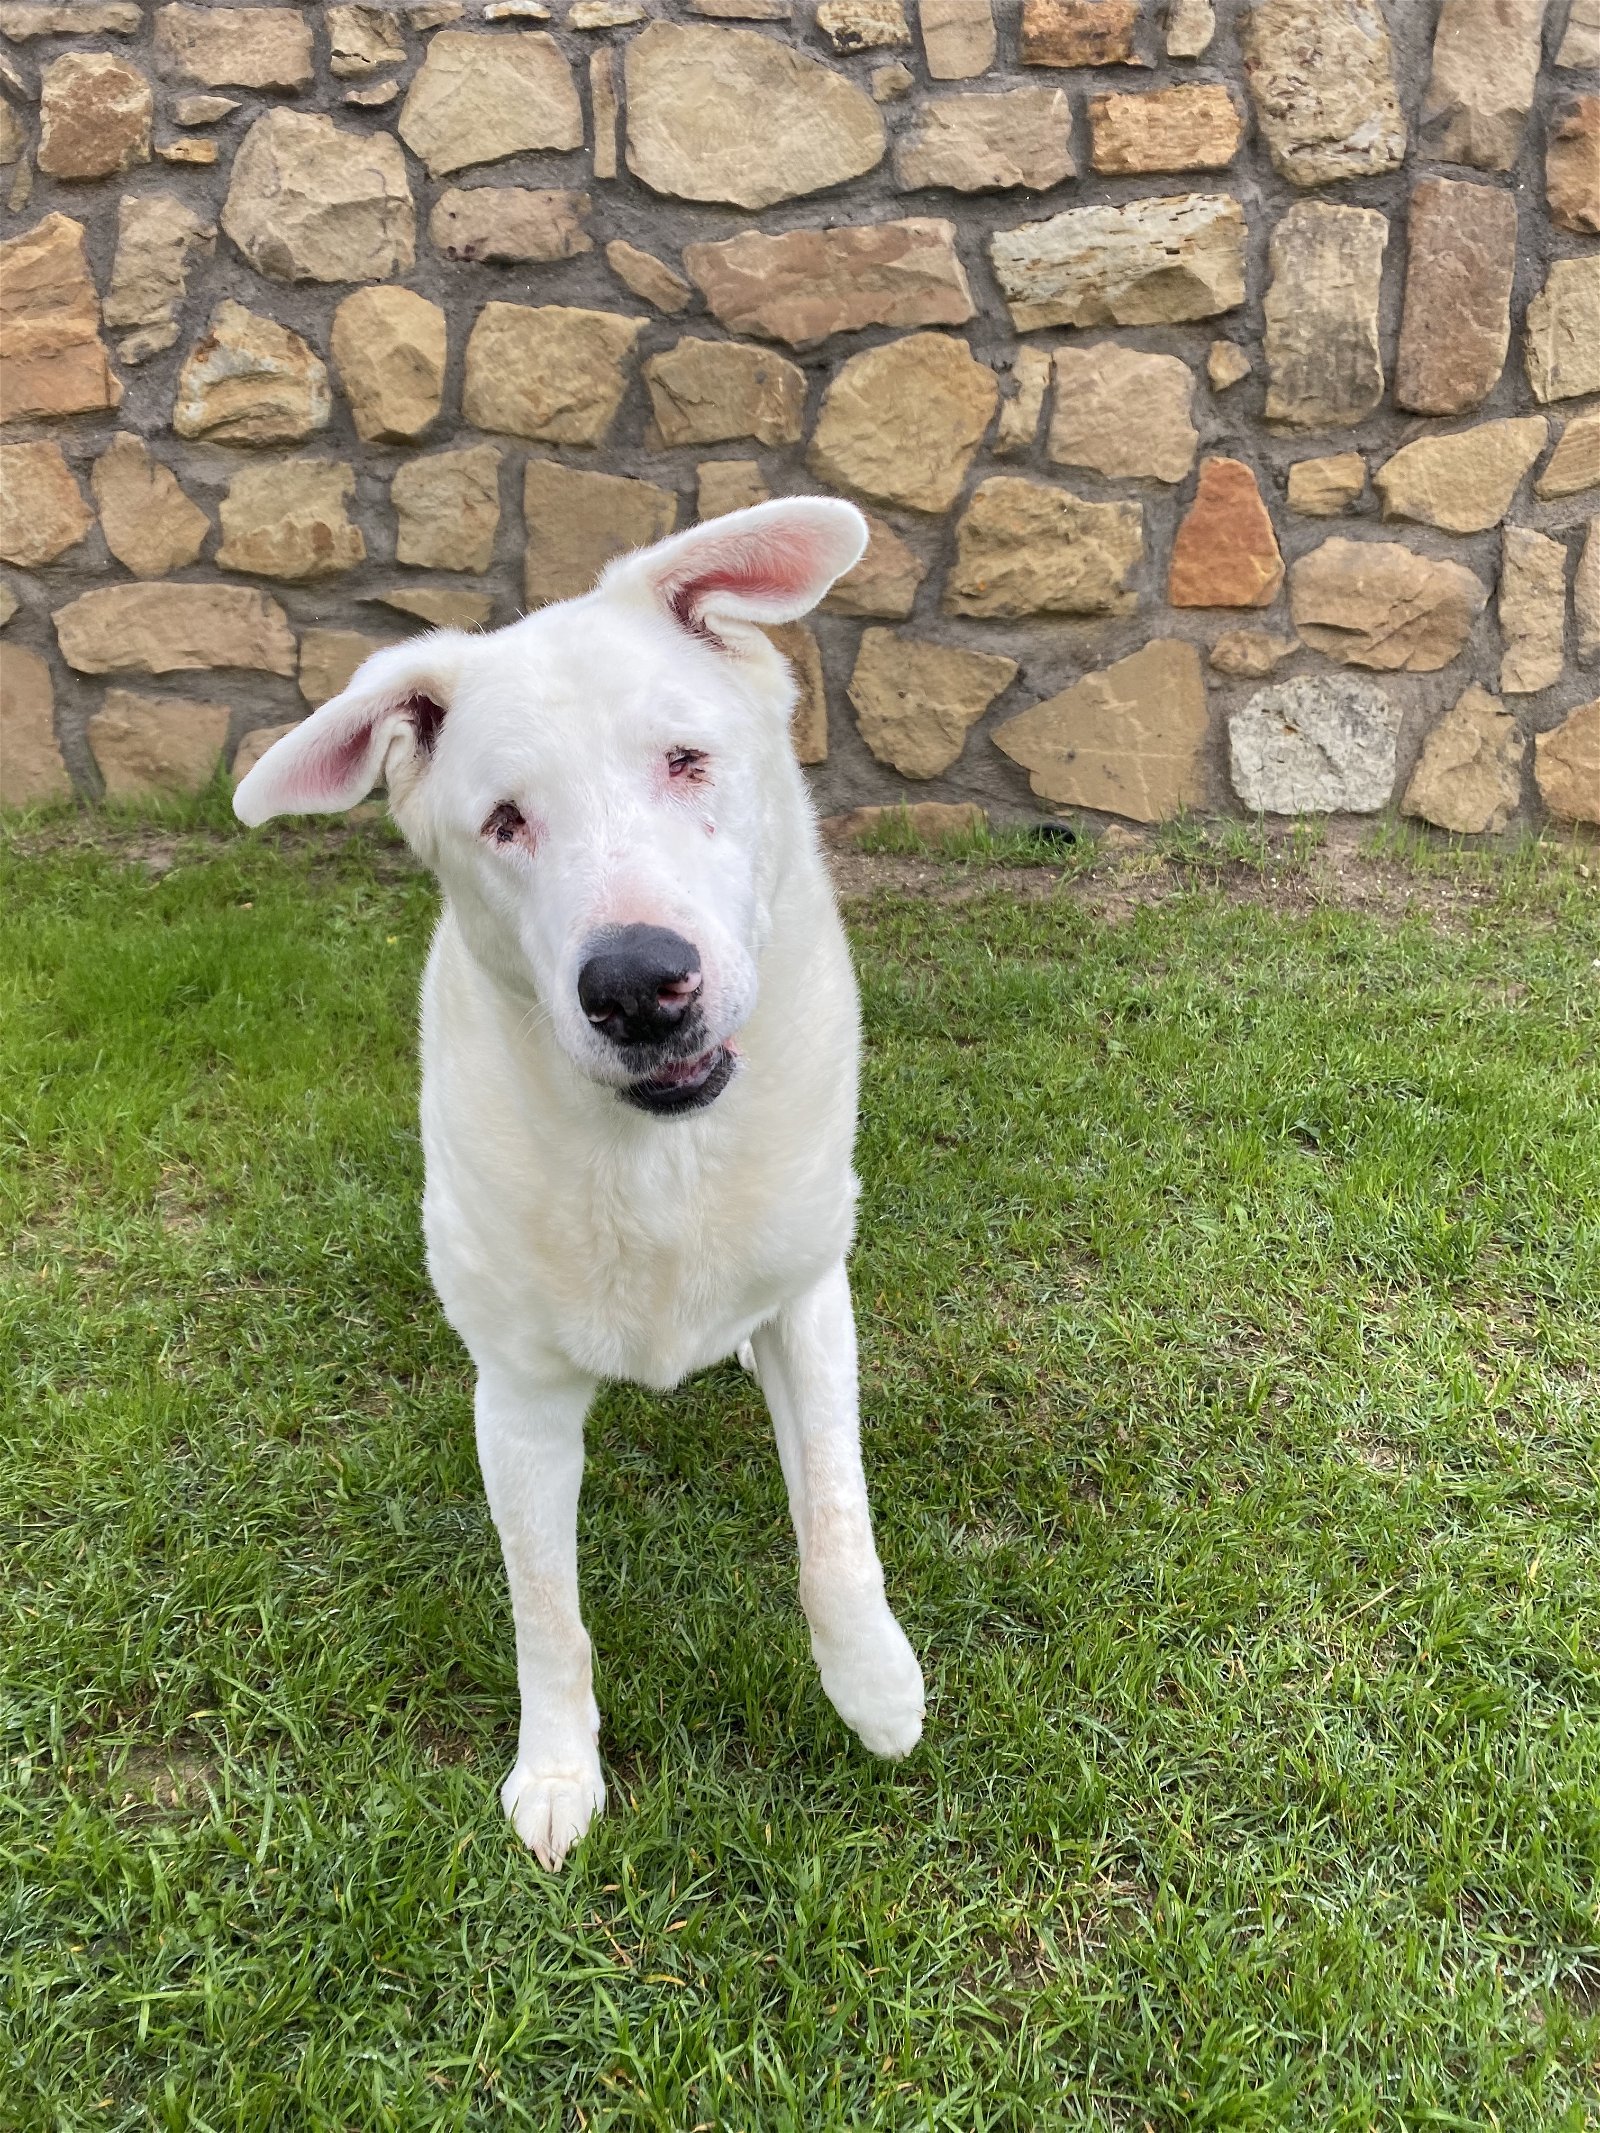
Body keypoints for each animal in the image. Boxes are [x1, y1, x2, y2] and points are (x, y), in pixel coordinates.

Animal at [231, 499, 921, 1868]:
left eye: (687, 761)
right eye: (504, 820)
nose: (638, 986)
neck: (653, 1159)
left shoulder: (810, 1304)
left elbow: (834, 1519)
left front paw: (873, 1685)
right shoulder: (519, 1400)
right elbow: (545, 1606)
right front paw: (557, 1770)